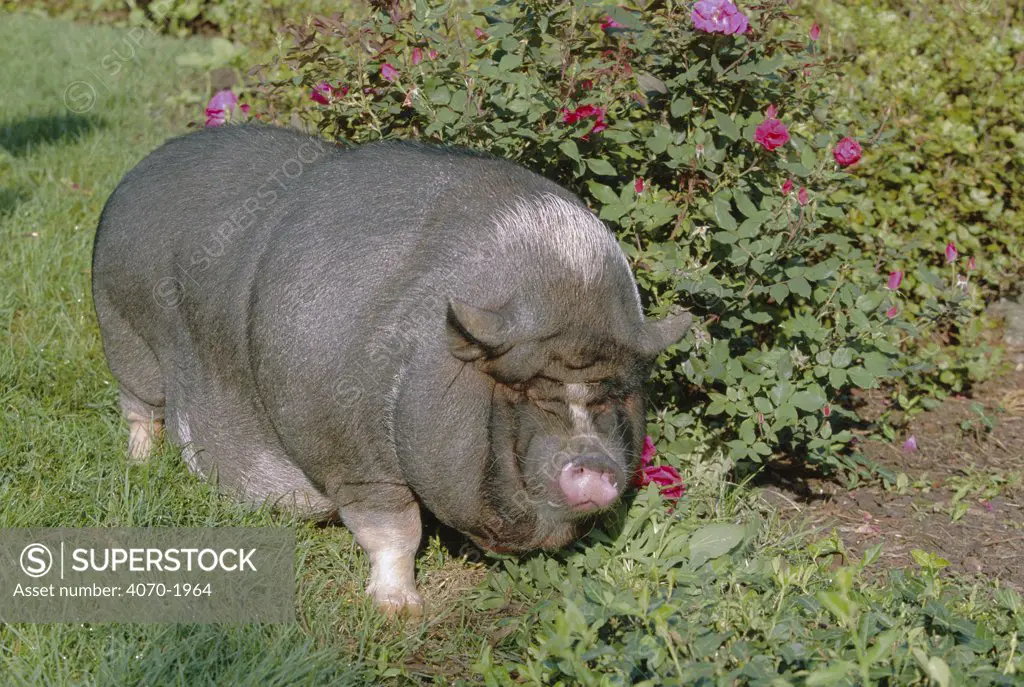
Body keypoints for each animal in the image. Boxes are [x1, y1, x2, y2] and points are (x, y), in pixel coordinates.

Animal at [92, 124, 692, 618]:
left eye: (613, 393)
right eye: (527, 389)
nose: (593, 462)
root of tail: (140, 170)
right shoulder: (355, 455)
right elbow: (394, 530)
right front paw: (400, 611)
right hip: (124, 333)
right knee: (141, 408)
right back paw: (139, 464)